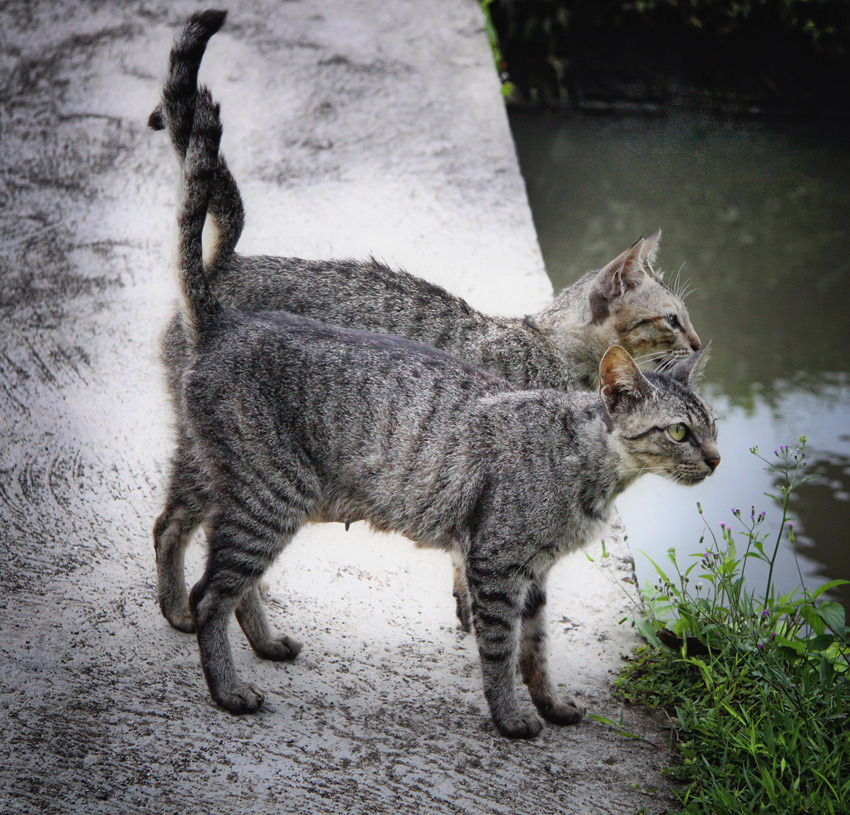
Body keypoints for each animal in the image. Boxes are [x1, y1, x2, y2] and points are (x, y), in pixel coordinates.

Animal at [171, 78, 716, 740]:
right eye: (672, 319)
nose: (698, 341)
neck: (549, 349)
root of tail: (220, 286)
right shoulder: (488, 524)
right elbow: (496, 624)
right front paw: (501, 680)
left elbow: (520, 630)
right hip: (264, 483)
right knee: (195, 559)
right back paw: (215, 662)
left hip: (227, 474)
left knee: (185, 535)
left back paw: (244, 634)